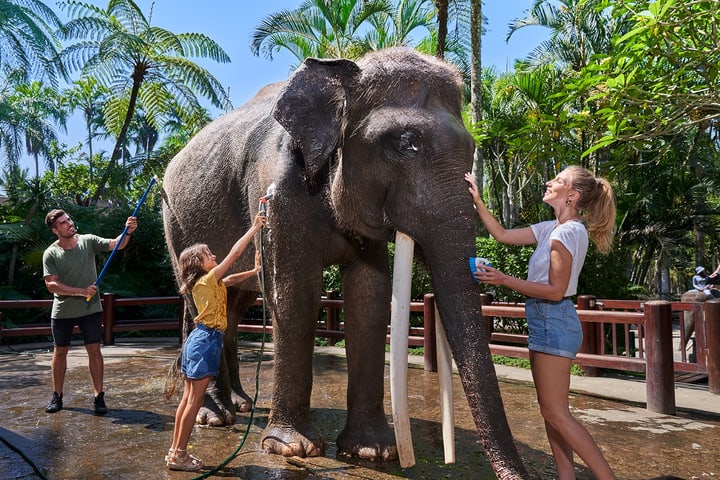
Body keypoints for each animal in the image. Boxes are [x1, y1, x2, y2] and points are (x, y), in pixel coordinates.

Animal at [162, 47, 529, 478]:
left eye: (472, 148)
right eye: (406, 143)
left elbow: (368, 298)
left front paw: (372, 452)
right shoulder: (278, 189)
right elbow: (296, 296)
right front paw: (292, 449)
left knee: (233, 306)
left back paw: (240, 404)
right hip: (175, 221)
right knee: (197, 299)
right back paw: (214, 417)